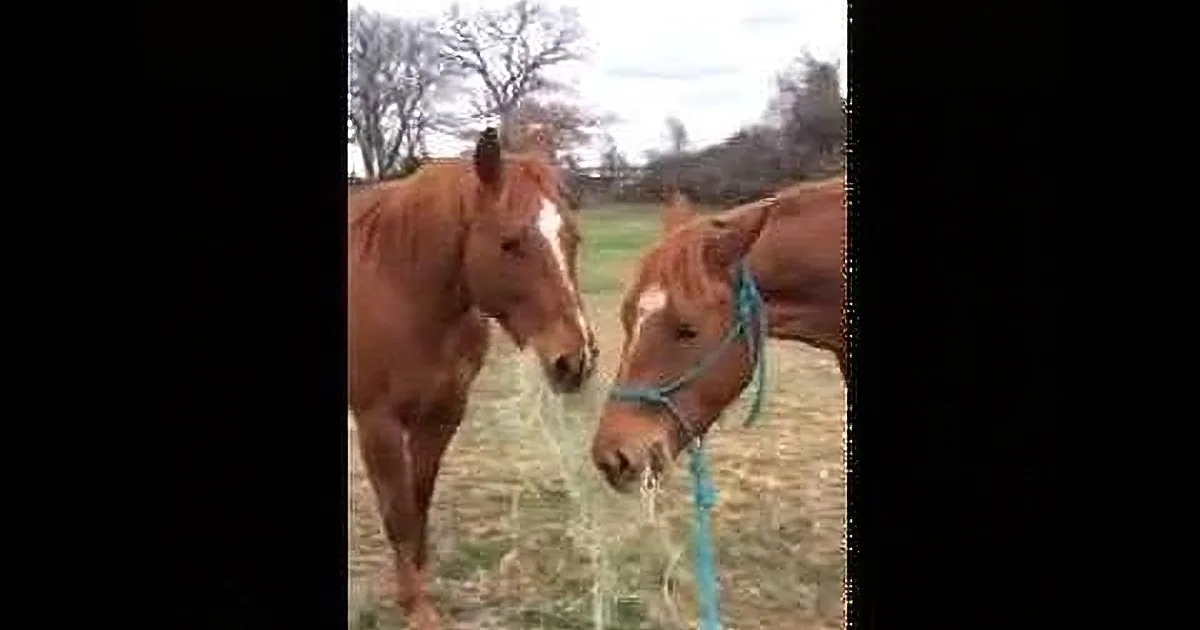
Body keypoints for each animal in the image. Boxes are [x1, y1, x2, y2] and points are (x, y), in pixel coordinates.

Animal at [349, 128, 599, 628]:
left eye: (572, 237)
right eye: (509, 243)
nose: (575, 360)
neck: (401, 286)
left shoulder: (443, 414)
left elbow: (418, 501)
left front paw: (420, 588)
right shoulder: (377, 423)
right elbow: (397, 512)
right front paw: (415, 607)